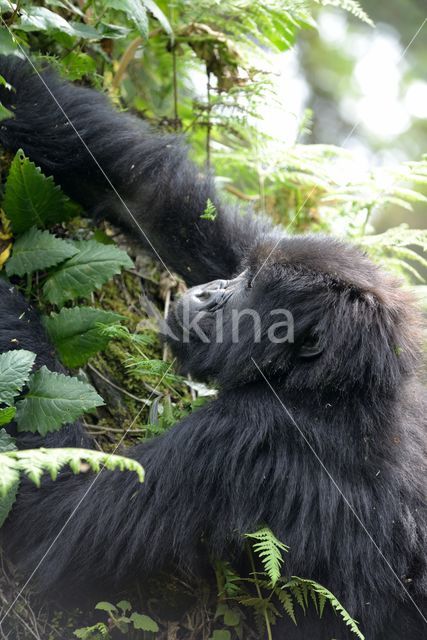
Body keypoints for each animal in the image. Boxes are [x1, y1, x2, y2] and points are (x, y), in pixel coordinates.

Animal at [0, 56, 426, 640]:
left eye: (246, 290)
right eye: (245, 271)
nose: (210, 292)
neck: (337, 391)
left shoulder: (244, 437)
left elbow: (54, 514)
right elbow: (151, 195)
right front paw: (13, 82)